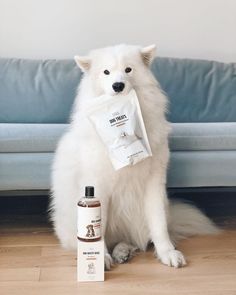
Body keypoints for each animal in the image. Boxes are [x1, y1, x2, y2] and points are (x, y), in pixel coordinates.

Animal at [50, 44, 218, 270]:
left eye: (128, 69)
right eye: (106, 72)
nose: (118, 85)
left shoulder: (154, 182)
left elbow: (159, 225)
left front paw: (167, 253)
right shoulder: (97, 185)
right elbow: (99, 228)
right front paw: (101, 257)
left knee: (132, 239)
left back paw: (123, 251)